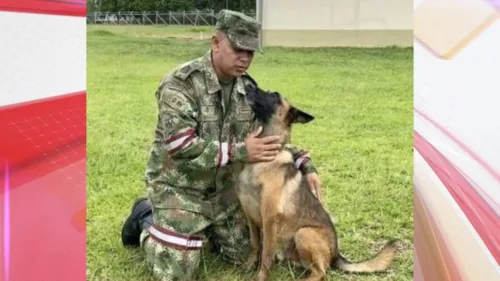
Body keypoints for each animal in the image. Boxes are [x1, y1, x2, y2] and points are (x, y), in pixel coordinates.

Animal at [232, 86, 400, 280]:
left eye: (274, 96)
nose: (248, 86)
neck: (262, 160)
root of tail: (336, 253)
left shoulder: (269, 219)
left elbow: (266, 253)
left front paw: (260, 276)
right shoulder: (250, 215)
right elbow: (255, 244)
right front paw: (249, 266)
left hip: (304, 233)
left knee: (321, 272)